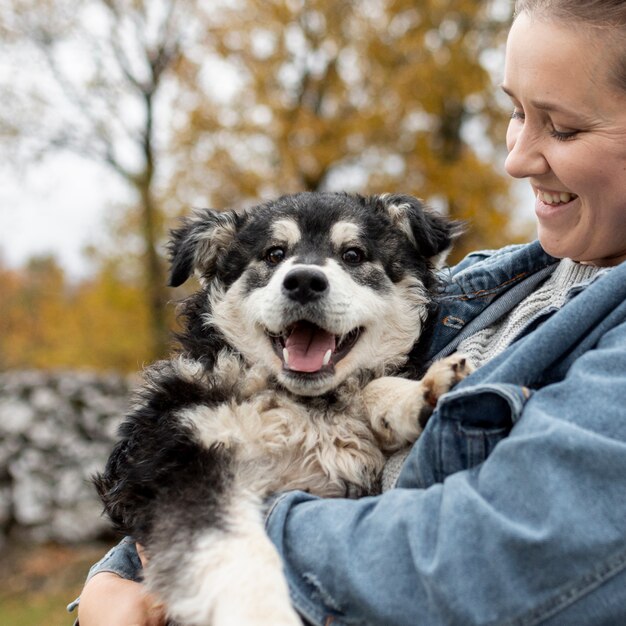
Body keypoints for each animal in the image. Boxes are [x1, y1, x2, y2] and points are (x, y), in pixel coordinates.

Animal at [96, 191, 468, 624]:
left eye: (354, 255)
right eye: (274, 254)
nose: (304, 281)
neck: (302, 406)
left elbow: (371, 386)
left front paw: (417, 393)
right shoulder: (177, 458)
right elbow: (236, 550)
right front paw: (259, 611)